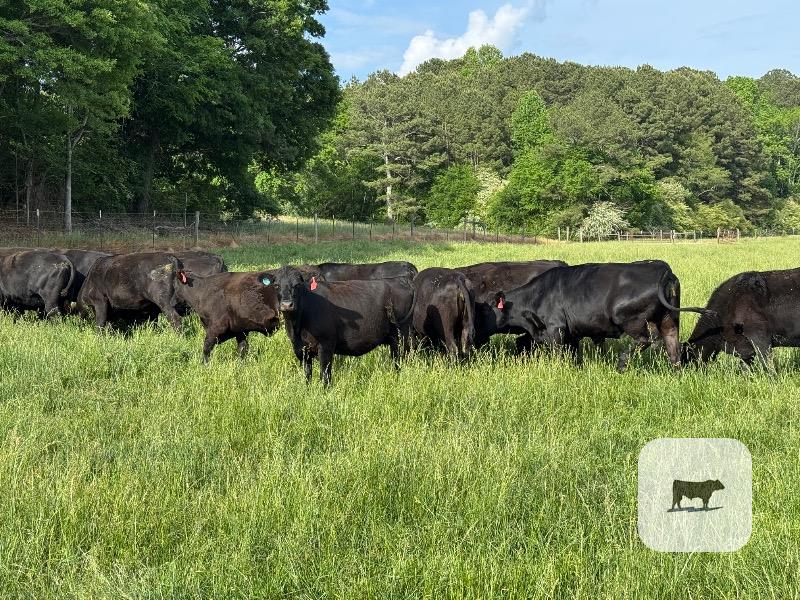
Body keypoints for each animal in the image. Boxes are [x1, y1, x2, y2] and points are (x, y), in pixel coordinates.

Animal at [269, 265, 415, 386]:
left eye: (297, 285)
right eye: (276, 286)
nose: (287, 305)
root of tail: (402, 280)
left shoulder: (326, 346)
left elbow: (325, 375)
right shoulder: (302, 349)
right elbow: (307, 375)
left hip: (401, 337)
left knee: (400, 361)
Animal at [489, 260, 710, 371]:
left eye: (490, 306)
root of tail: (664, 271)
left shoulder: (555, 329)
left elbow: (559, 354)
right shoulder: (572, 332)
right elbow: (572, 354)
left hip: (629, 318)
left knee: (647, 339)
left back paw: (622, 364)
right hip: (669, 320)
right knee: (673, 346)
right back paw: (676, 373)